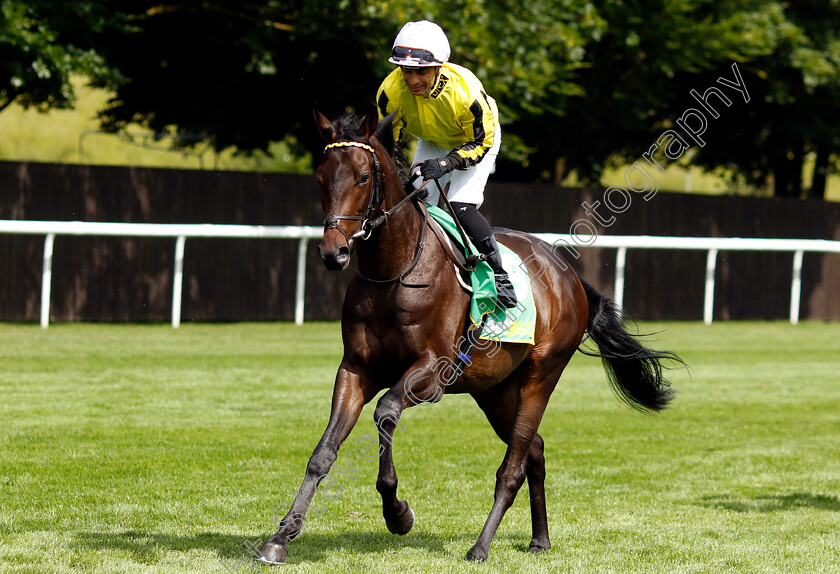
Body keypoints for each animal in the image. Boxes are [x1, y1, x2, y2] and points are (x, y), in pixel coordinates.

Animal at [258, 109, 684, 568]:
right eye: (321, 176)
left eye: (361, 177)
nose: (332, 252)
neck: (395, 270)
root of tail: (567, 274)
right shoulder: (355, 369)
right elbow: (323, 453)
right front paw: (280, 537)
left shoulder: (431, 372)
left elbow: (386, 412)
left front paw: (398, 513)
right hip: (494, 390)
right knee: (534, 449)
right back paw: (539, 539)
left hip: (541, 376)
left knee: (512, 466)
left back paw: (480, 546)